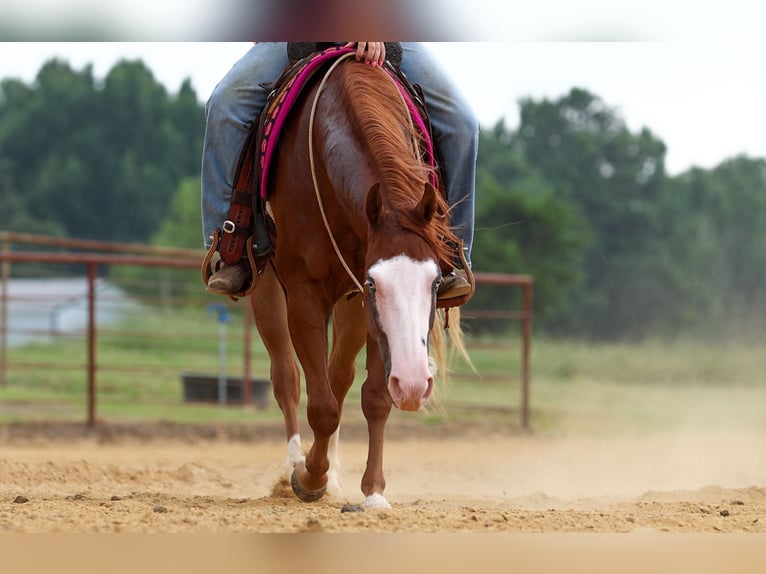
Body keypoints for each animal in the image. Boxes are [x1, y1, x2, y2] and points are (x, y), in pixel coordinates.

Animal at [248, 50, 463, 509]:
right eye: (375, 283)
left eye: (436, 283)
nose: (415, 384)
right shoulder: (308, 294)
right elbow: (322, 406)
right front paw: (308, 477)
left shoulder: (358, 303)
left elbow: (373, 396)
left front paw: (373, 490)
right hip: (267, 290)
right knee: (287, 377)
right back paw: (294, 466)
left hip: (347, 309)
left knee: (338, 377)